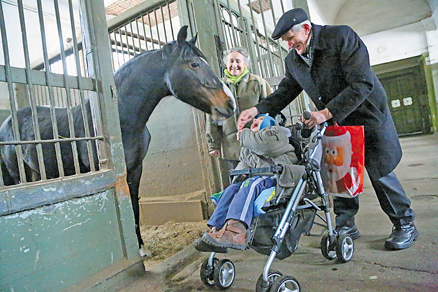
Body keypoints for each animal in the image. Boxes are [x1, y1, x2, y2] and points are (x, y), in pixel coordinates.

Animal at [0, 26, 234, 254]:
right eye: (194, 64)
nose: (229, 104)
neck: (123, 120)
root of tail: (7, 122)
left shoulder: (135, 169)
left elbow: (134, 205)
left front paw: (141, 247)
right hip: (18, 176)